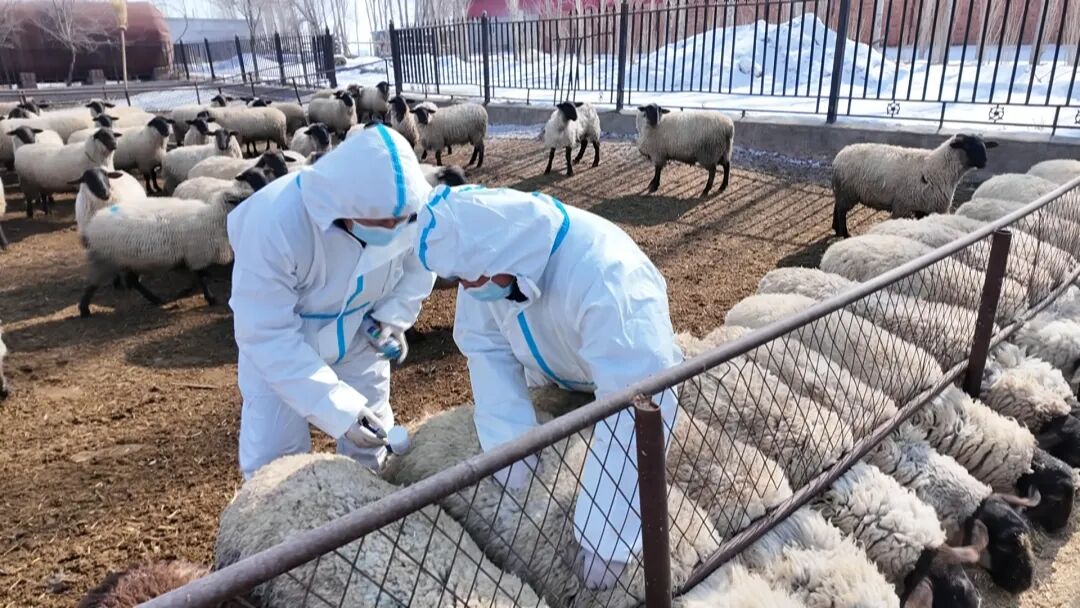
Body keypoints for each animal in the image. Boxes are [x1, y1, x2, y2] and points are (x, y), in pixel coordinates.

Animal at [78, 187, 247, 316]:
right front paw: (210, 298)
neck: (213, 217)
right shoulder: (196, 254)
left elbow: (199, 277)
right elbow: (201, 277)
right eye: (242, 199)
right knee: (94, 283)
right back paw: (84, 309)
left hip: (131, 260)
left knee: (132, 281)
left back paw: (155, 300)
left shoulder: (193, 255)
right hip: (106, 259)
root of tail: (92, 225)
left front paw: (189, 291)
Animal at [830, 133, 997, 237]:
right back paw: (844, 233)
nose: (985, 162)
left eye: (984, 146)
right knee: (841, 211)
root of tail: (839, 155)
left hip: (843, 190)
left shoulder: (923, 208)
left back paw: (836, 229)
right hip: (848, 191)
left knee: (837, 207)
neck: (939, 167)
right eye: (969, 146)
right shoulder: (903, 206)